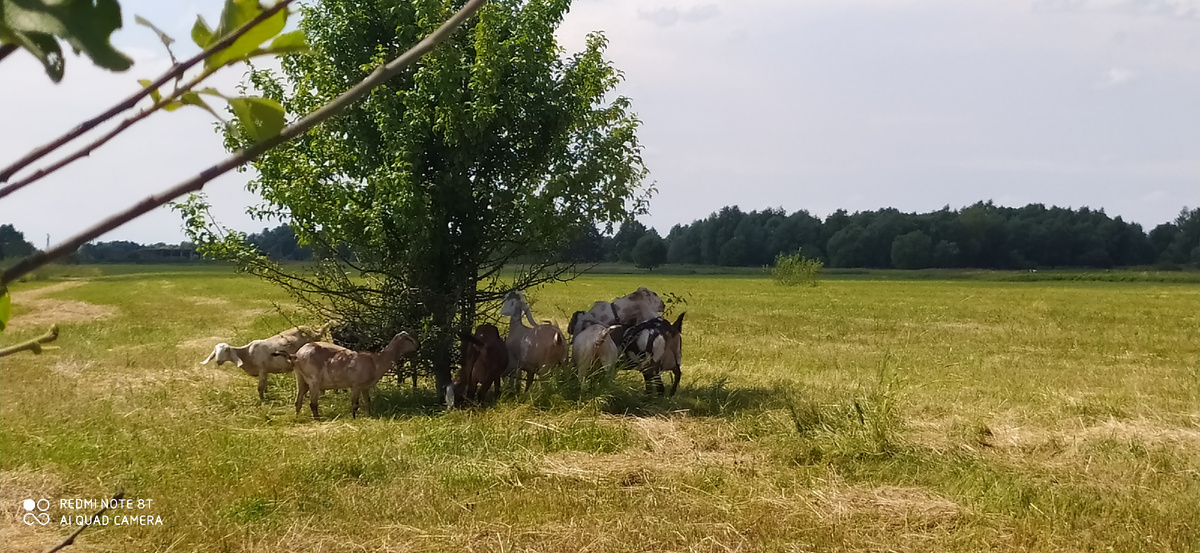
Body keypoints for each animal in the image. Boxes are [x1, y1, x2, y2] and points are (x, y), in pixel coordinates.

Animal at [201, 319, 333, 400]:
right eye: (215, 351)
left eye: (227, 350)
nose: (218, 361)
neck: (247, 354)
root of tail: (315, 332)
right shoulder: (266, 371)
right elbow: (264, 386)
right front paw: (265, 395)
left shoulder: (262, 370)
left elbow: (260, 388)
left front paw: (262, 400)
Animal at [291, 328, 420, 415]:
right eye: (409, 339)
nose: (418, 347)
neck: (376, 361)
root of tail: (297, 354)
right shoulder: (356, 385)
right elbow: (355, 405)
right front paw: (354, 418)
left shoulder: (365, 387)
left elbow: (368, 402)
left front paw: (369, 416)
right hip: (314, 380)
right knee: (313, 404)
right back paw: (317, 420)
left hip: (301, 378)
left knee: (298, 401)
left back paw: (298, 417)